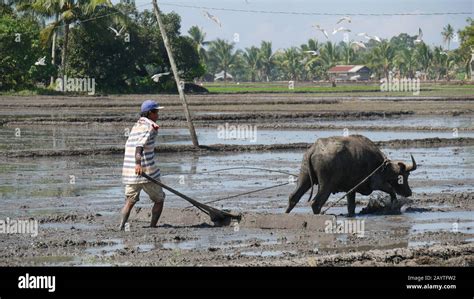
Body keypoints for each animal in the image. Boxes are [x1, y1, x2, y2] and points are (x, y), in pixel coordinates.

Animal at [286, 135, 414, 216]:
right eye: (404, 175)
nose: (409, 192)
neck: (382, 166)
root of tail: (314, 149)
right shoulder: (377, 183)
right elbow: (391, 190)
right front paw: (394, 205)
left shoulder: (351, 190)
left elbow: (351, 207)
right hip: (326, 185)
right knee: (316, 203)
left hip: (305, 177)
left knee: (293, 197)